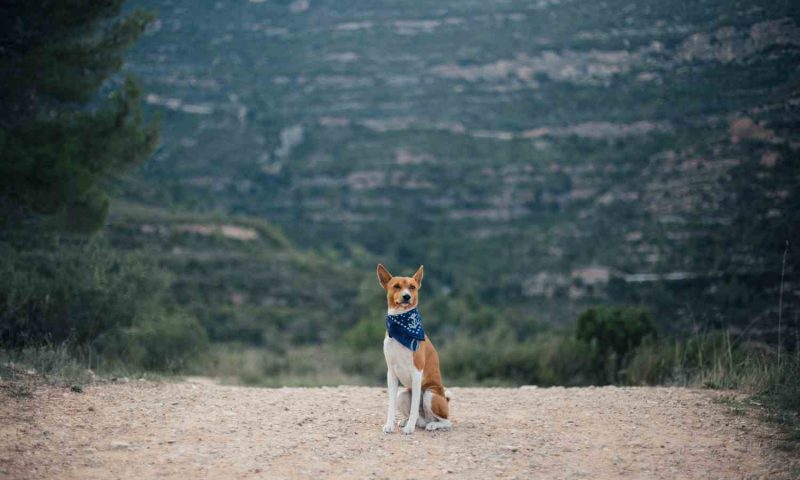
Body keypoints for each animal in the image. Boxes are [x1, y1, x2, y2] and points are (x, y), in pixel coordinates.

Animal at [376, 264, 450, 434]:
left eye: (412, 287)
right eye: (396, 286)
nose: (406, 297)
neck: (401, 328)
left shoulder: (416, 373)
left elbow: (415, 406)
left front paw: (409, 428)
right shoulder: (391, 373)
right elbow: (391, 405)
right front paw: (389, 425)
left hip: (430, 394)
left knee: (446, 421)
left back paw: (430, 425)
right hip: (402, 394)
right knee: (420, 418)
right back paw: (410, 422)